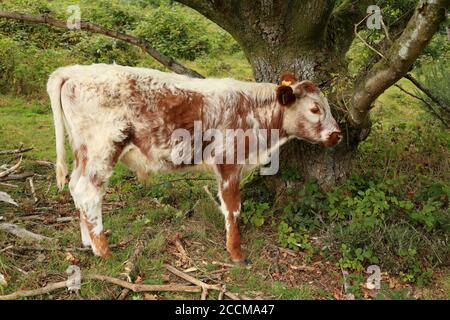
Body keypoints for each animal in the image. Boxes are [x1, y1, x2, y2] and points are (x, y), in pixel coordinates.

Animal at [46, 64, 342, 262]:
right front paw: (236, 252)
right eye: (315, 109)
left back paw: (87, 242)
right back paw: (104, 251)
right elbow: (232, 209)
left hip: (83, 152)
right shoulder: (229, 162)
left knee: (76, 188)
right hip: (102, 148)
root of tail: (73, 71)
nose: (337, 134)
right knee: (89, 193)